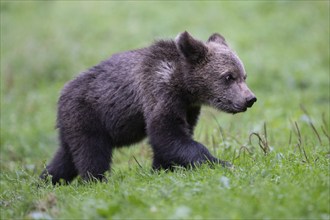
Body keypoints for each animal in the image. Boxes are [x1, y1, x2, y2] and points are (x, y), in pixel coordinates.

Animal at [40, 31, 255, 184]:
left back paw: (46, 180)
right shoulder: (158, 92)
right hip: (87, 116)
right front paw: (222, 163)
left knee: (65, 157)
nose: (249, 99)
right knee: (92, 154)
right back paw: (97, 181)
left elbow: (173, 138)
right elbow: (166, 133)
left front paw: (161, 168)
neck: (184, 85)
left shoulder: (188, 108)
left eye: (244, 76)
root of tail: (61, 94)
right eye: (228, 76)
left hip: (72, 126)